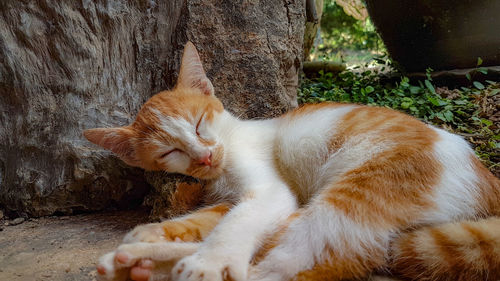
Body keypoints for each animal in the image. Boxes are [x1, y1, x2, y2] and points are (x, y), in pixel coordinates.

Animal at [85, 41, 500, 280]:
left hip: (359, 191)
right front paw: (152, 232)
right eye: (169, 152)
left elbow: (235, 226)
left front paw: (209, 260)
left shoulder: (270, 192)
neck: (231, 141)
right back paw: (137, 262)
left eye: (200, 124)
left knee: (282, 264)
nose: (204, 157)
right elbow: (212, 220)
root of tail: (489, 182)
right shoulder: (231, 199)